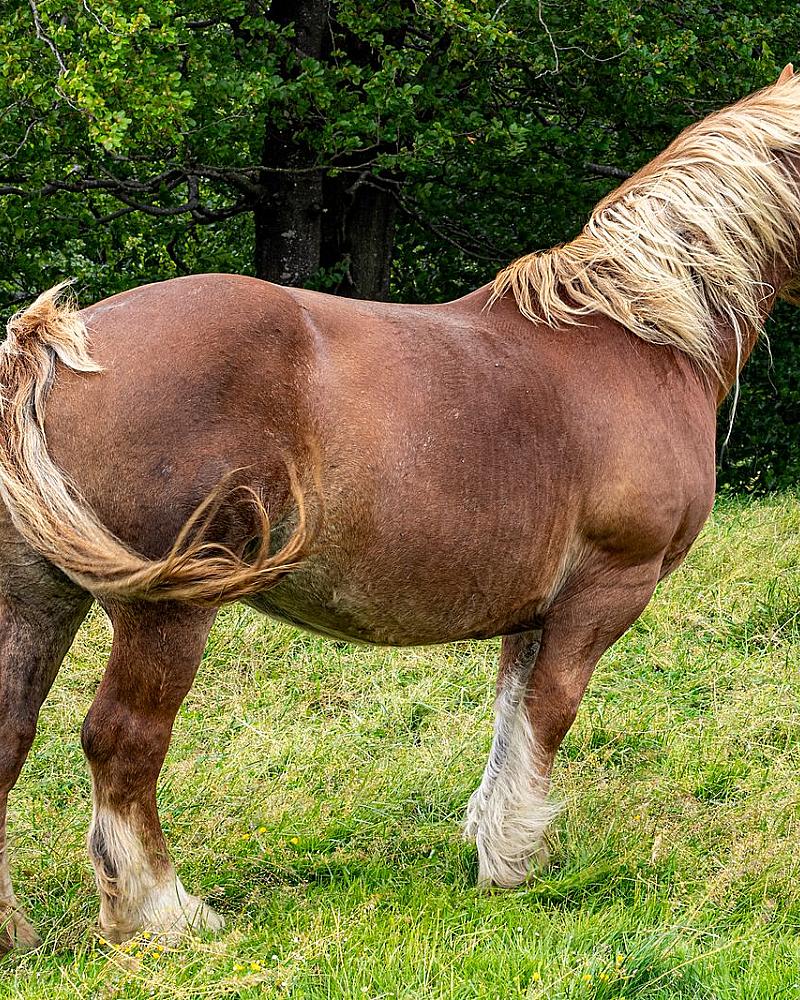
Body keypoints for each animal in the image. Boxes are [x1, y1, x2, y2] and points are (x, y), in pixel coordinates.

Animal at [1, 64, 798, 951]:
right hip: (165, 612)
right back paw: (163, 911)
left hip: (37, 598)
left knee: (11, 733)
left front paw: (493, 839)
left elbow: (510, 720)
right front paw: (512, 865)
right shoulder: (604, 593)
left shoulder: (533, 610)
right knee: (123, 741)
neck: (639, 336)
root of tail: (51, 346)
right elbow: (548, 717)